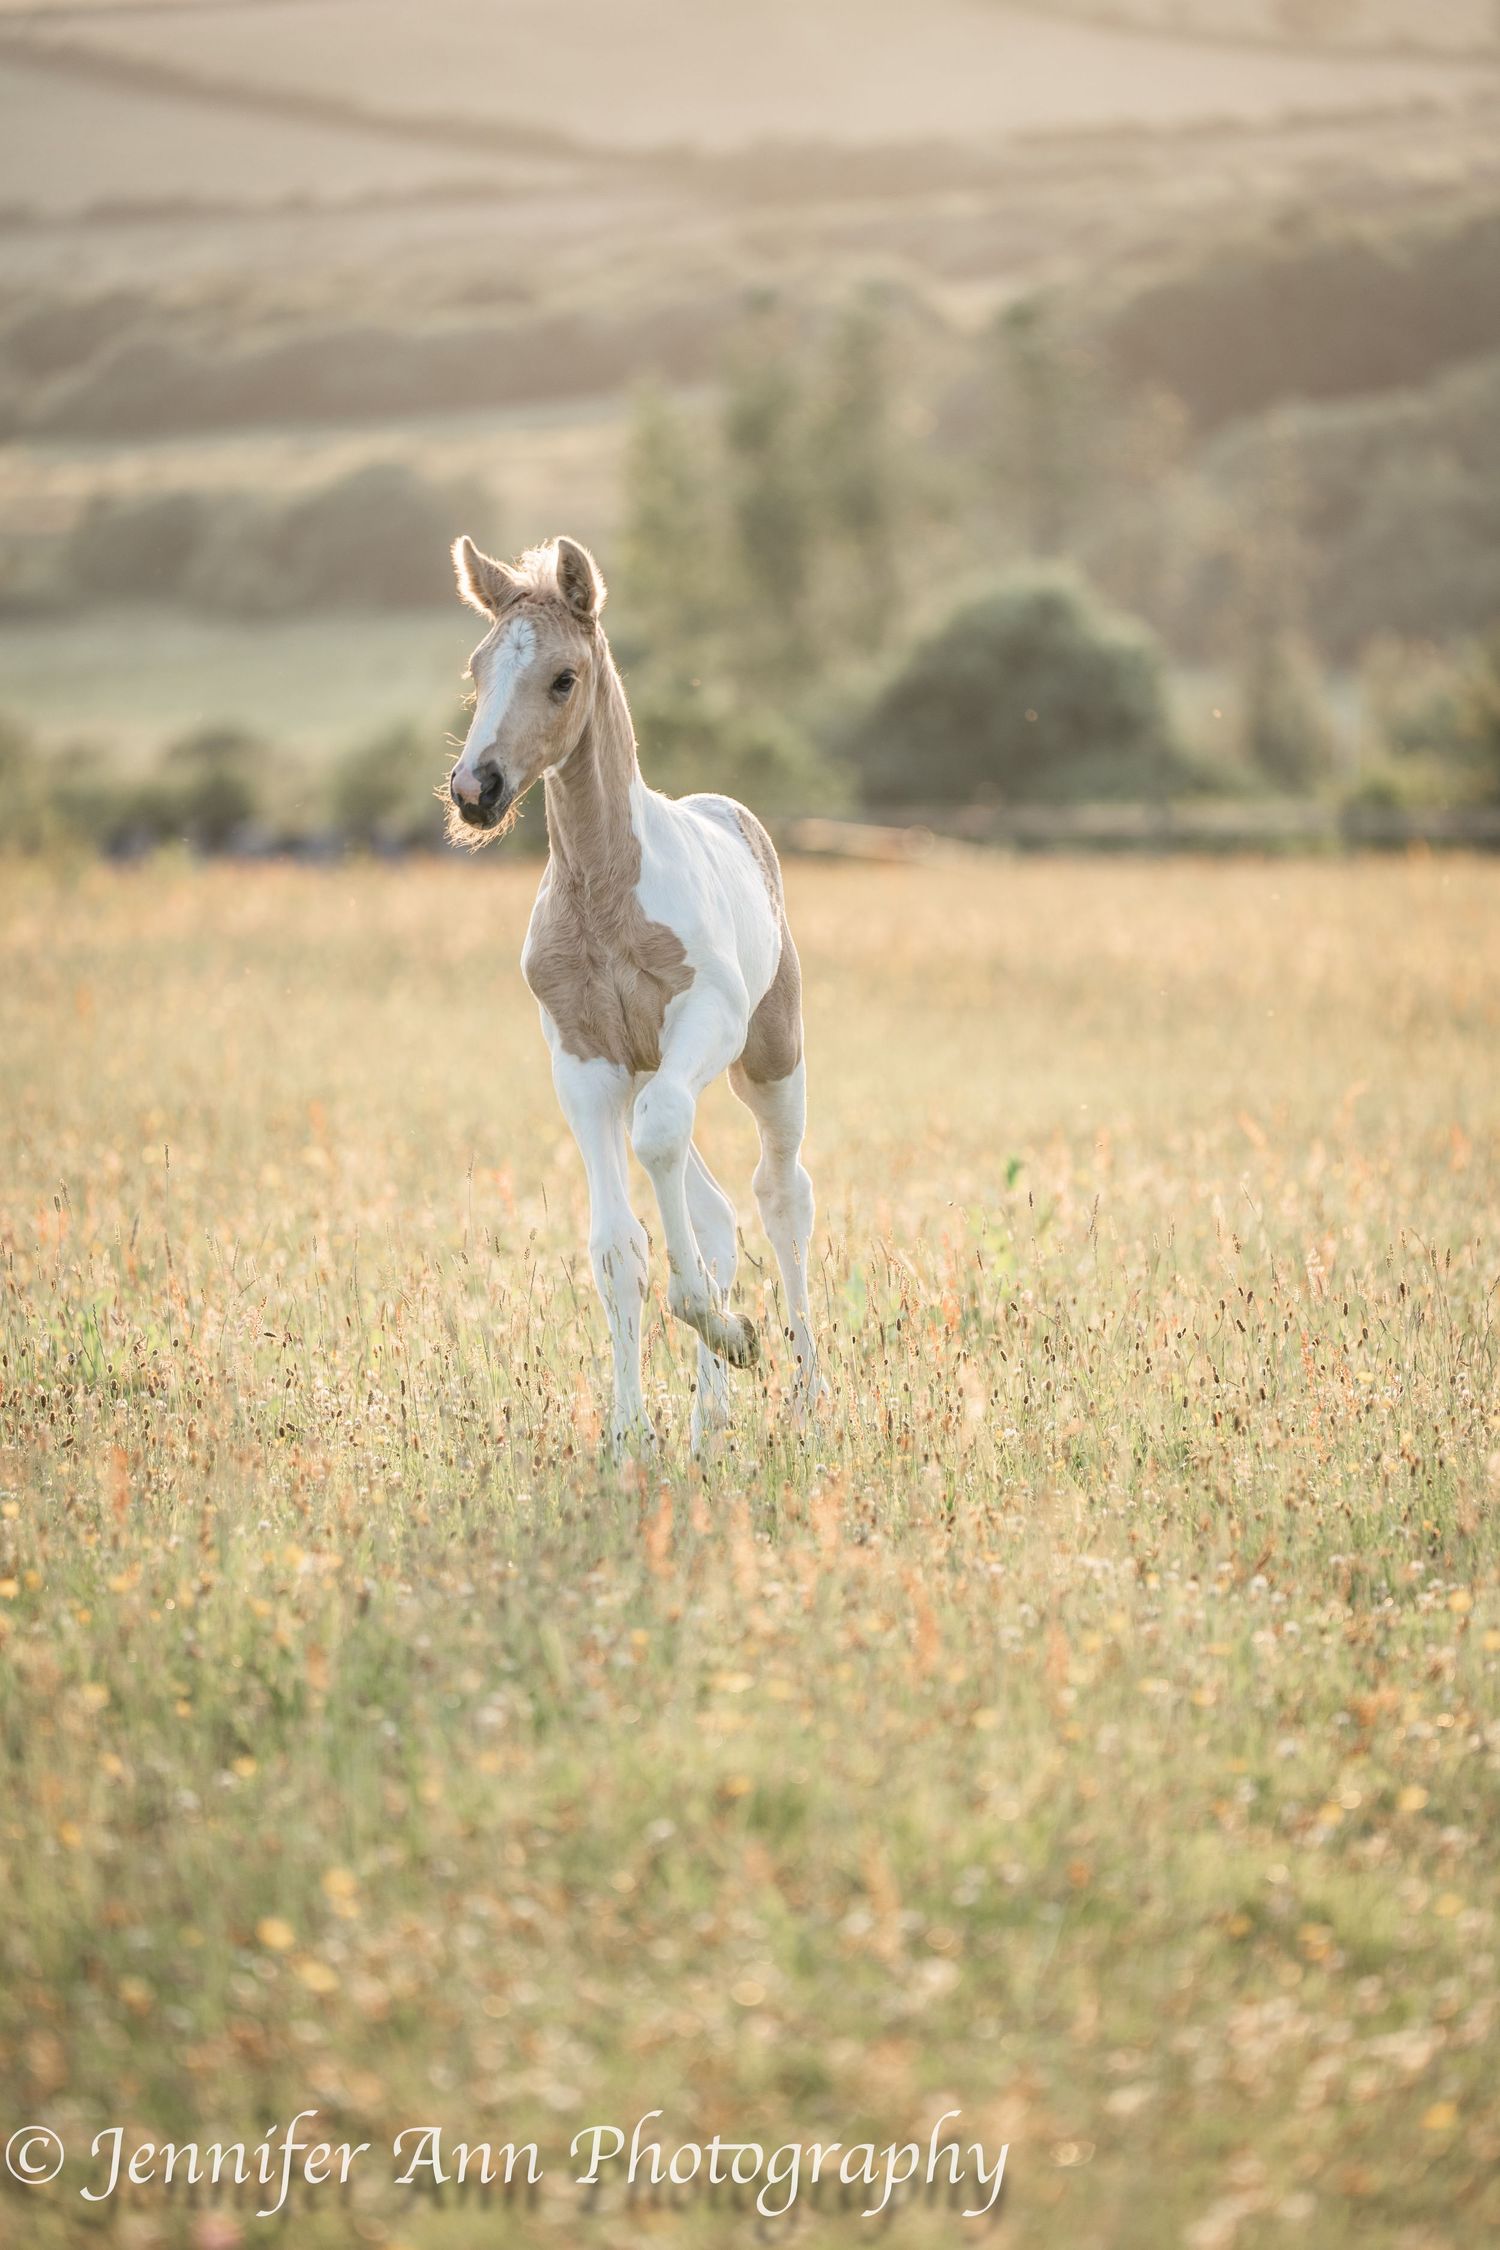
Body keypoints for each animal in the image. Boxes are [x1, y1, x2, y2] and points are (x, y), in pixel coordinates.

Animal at [446, 532, 820, 1454]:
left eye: (563, 677)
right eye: (478, 668)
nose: (475, 792)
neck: (605, 893)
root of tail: (730, 812)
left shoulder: (704, 1018)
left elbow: (658, 1145)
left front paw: (729, 1329)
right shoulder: (585, 1061)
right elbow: (618, 1246)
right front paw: (627, 1436)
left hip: (769, 1056)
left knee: (780, 1195)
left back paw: (807, 1395)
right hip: (655, 1064)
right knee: (715, 1210)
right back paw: (708, 1421)